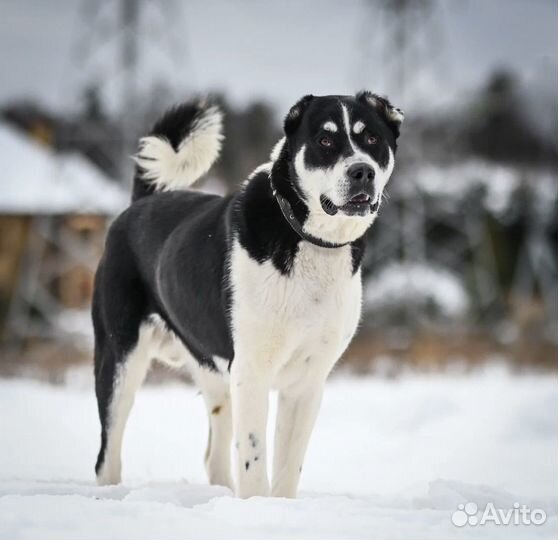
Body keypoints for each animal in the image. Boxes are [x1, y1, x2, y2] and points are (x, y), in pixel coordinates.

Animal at [94, 92, 404, 498]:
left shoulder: (307, 381)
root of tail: (137, 205)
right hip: (120, 360)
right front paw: (257, 503)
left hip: (214, 375)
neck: (308, 241)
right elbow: (254, 460)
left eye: (371, 139)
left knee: (213, 454)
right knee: (107, 453)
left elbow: (288, 466)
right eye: (324, 140)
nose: (362, 172)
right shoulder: (252, 371)